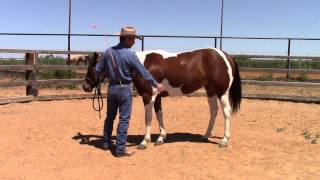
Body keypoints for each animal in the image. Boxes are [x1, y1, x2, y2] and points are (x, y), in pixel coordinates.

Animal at [84, 47, 241, 148]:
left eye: (93, 68)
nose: (85, 86)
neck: (141, 65)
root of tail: (226, 56)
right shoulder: (157, 96)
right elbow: (159, 114)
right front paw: (160, 138)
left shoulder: (148, 96)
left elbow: (148, 118)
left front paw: (144, 142)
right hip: (211, 91)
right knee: (213, 111)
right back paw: (205, 135)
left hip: (222, 92)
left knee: (226, 112)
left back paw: (224, 140)